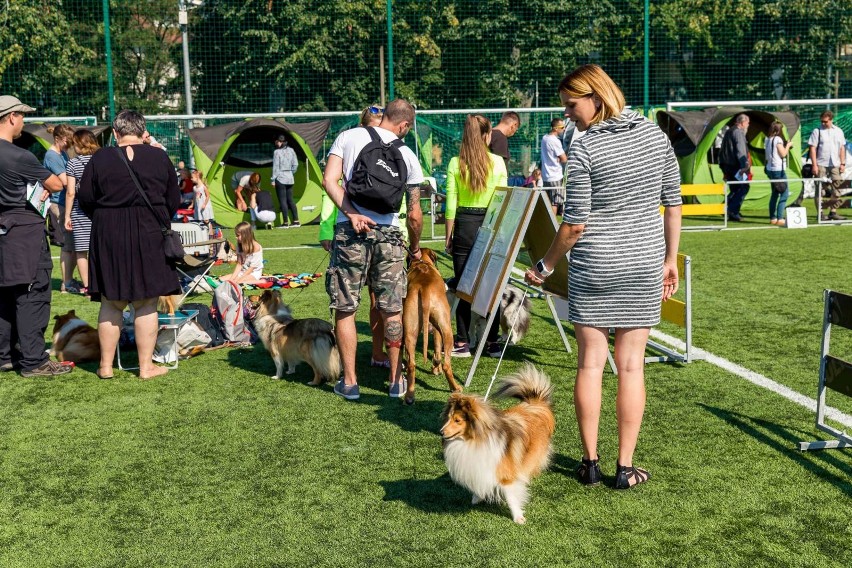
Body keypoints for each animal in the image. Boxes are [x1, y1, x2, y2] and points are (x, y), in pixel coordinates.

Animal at [404, 247, 462, 404]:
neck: (422, 262)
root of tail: (423, 288)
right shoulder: (437, 329)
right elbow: (437, 350)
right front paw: (436, 368)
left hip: (410, 329)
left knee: (411, 364)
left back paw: (409, 396)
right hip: (447, 330)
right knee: (447, 364)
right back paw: (455, 388)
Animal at [442, 364, 556, 524]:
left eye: (457, 420)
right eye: (448, 418)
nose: (441, 432)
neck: (474, 440)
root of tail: (535, 403)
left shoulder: (506, 475)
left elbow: (511, 497)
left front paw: (518, 517)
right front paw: (477, 498)